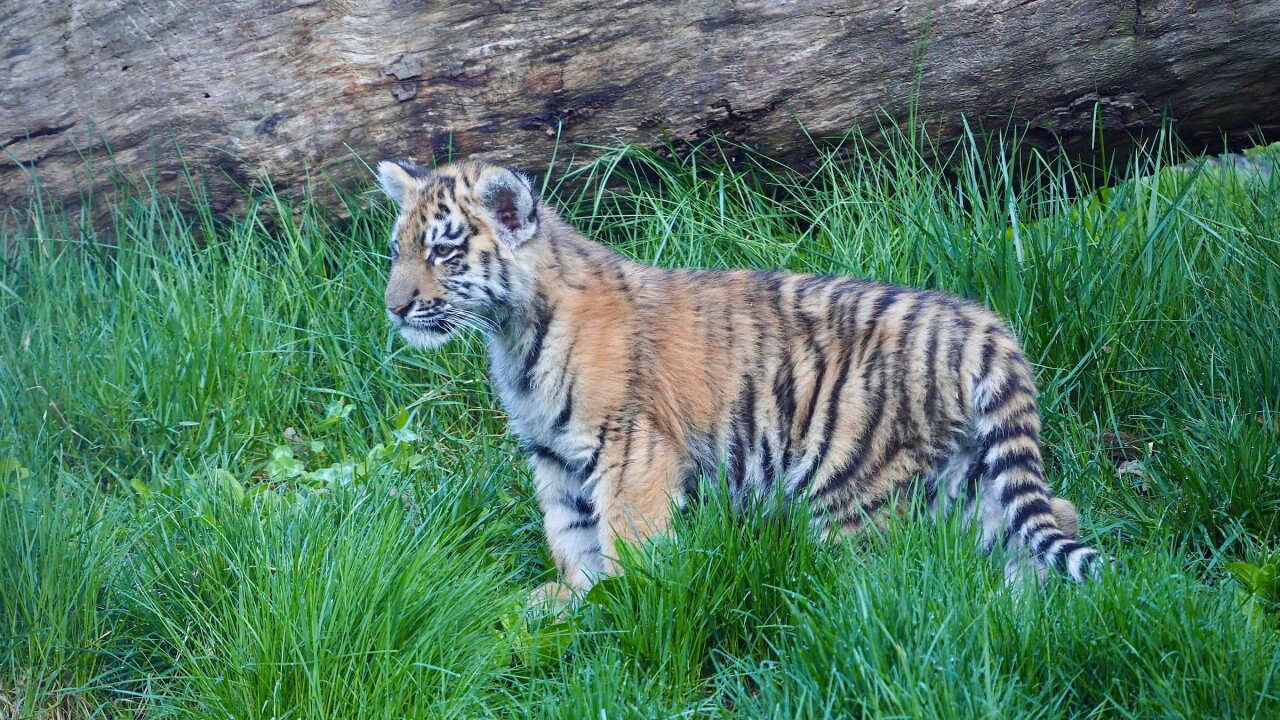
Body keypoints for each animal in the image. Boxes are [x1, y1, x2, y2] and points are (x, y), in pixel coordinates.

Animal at [376, 157, 1109, 600]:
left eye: (444, 252)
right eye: (398, 250)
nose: (394, 307)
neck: (512, 332)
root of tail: (983, 325)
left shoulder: (630, 448)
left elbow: (627, 541)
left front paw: (626, 605)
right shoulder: (554, 457)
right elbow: (571, 535)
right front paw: (573, 600)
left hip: (856, 486)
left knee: (887, 576)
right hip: (964, 472)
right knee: (1047, 518)